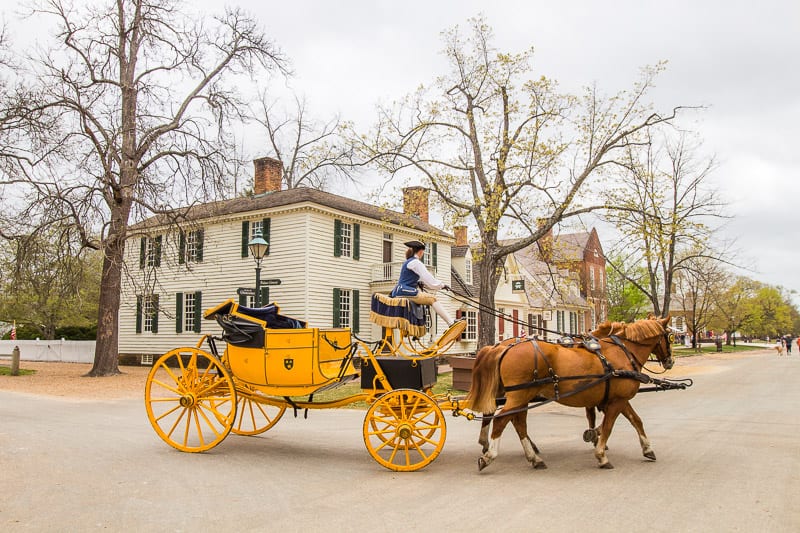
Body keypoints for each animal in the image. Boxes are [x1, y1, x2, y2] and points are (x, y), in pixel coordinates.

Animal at [468, 316, 676, 470]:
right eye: (669, 336)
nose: (670, 361)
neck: (621, 352)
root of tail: (502, 348)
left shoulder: (618, 399)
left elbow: (636, 421)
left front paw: (647, 449)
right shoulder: (617, 401)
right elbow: (608, 426)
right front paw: (601, 454)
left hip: (520, 396)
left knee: (516, 422)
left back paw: (533, 457)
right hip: (519, 395)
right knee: (501, 420)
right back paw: (490, 455)